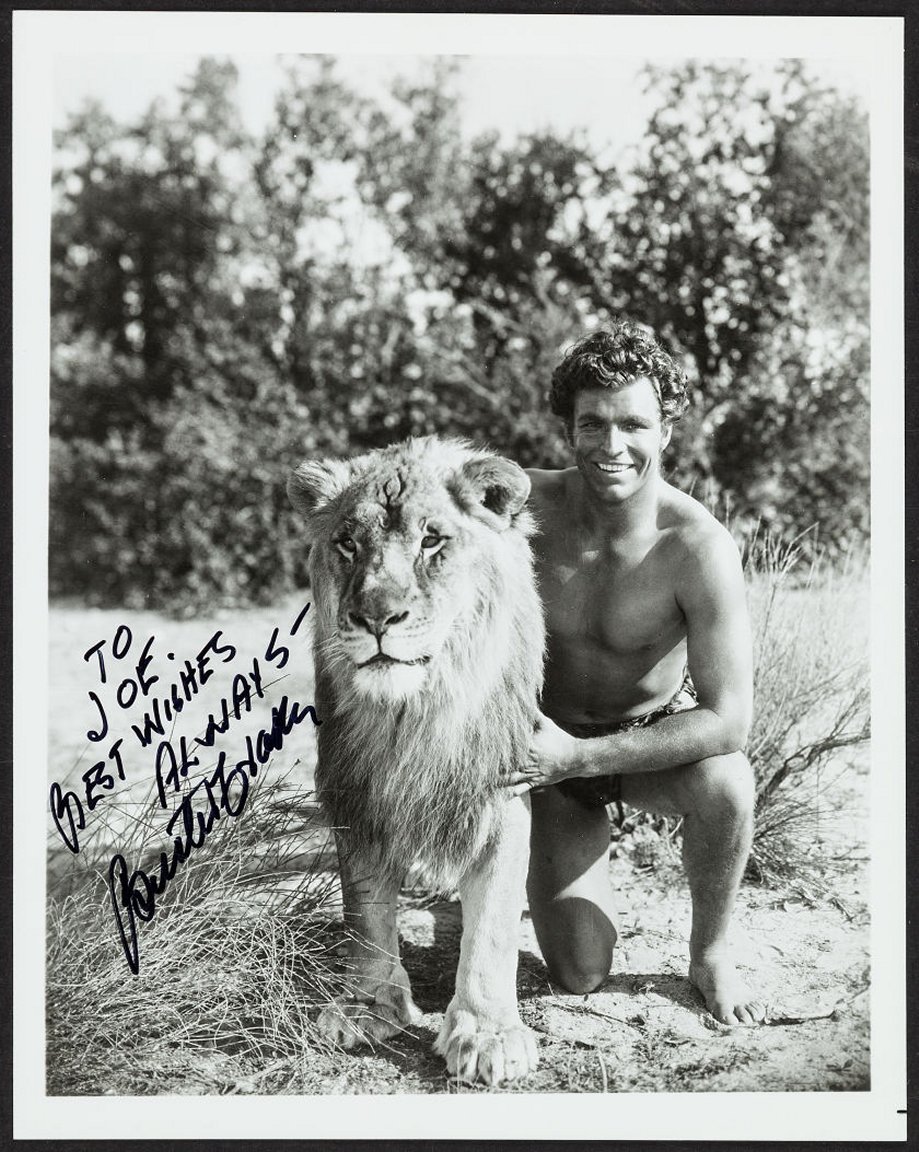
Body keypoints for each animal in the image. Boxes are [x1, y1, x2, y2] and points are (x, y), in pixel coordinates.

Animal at [291, 435, 543, 1082]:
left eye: (432, 541)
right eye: (348, 543)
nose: (377, 618)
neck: (415, 715)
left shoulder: (501, 790)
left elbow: (494, 924)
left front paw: (486, 1032)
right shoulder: (354, 792)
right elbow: (365, 912)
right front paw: (369, 1005)